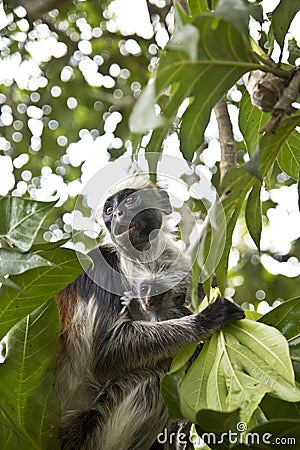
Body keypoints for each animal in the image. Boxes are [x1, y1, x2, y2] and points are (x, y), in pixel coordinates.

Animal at [55, 177, 245, 450]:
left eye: (130, 200)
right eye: (109, 210)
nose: (118, 214)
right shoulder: (104, 264)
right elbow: (106, 352)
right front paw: (208, 320)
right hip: (93, 433)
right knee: (154, 379)